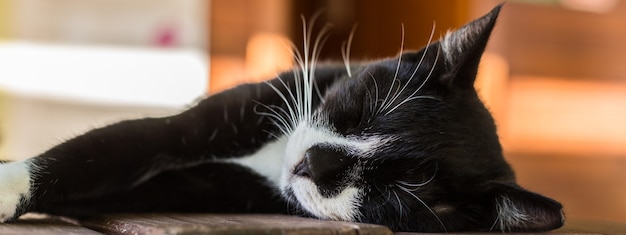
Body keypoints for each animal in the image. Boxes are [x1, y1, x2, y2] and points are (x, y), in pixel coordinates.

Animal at [0, 4, 564, 232]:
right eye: (356, 109)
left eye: (392, 191)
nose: (314, 162)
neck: (270, 160)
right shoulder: (229, 111)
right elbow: (114, 145)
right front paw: (10, 185)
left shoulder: (216, 188)